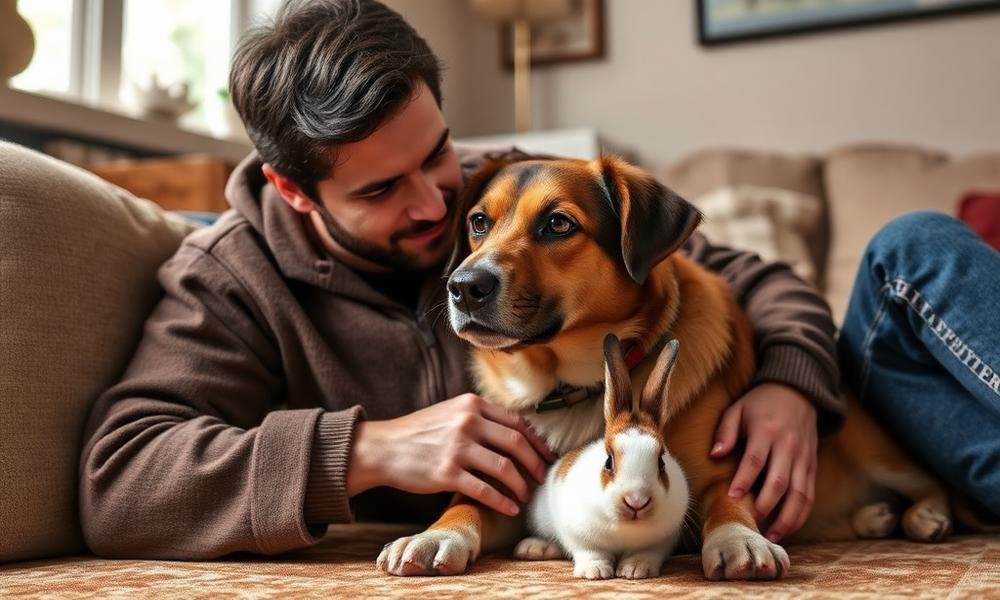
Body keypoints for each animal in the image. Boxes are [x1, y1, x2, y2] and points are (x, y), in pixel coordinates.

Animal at [513, 334, 691, 580]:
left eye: (661, 463)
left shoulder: (662, 542)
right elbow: (589, 551)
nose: (636, 501)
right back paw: (531, 548)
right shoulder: (577, 534)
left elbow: (646, 553)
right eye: (608, 461)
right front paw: (595, 571)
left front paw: (635, 570)